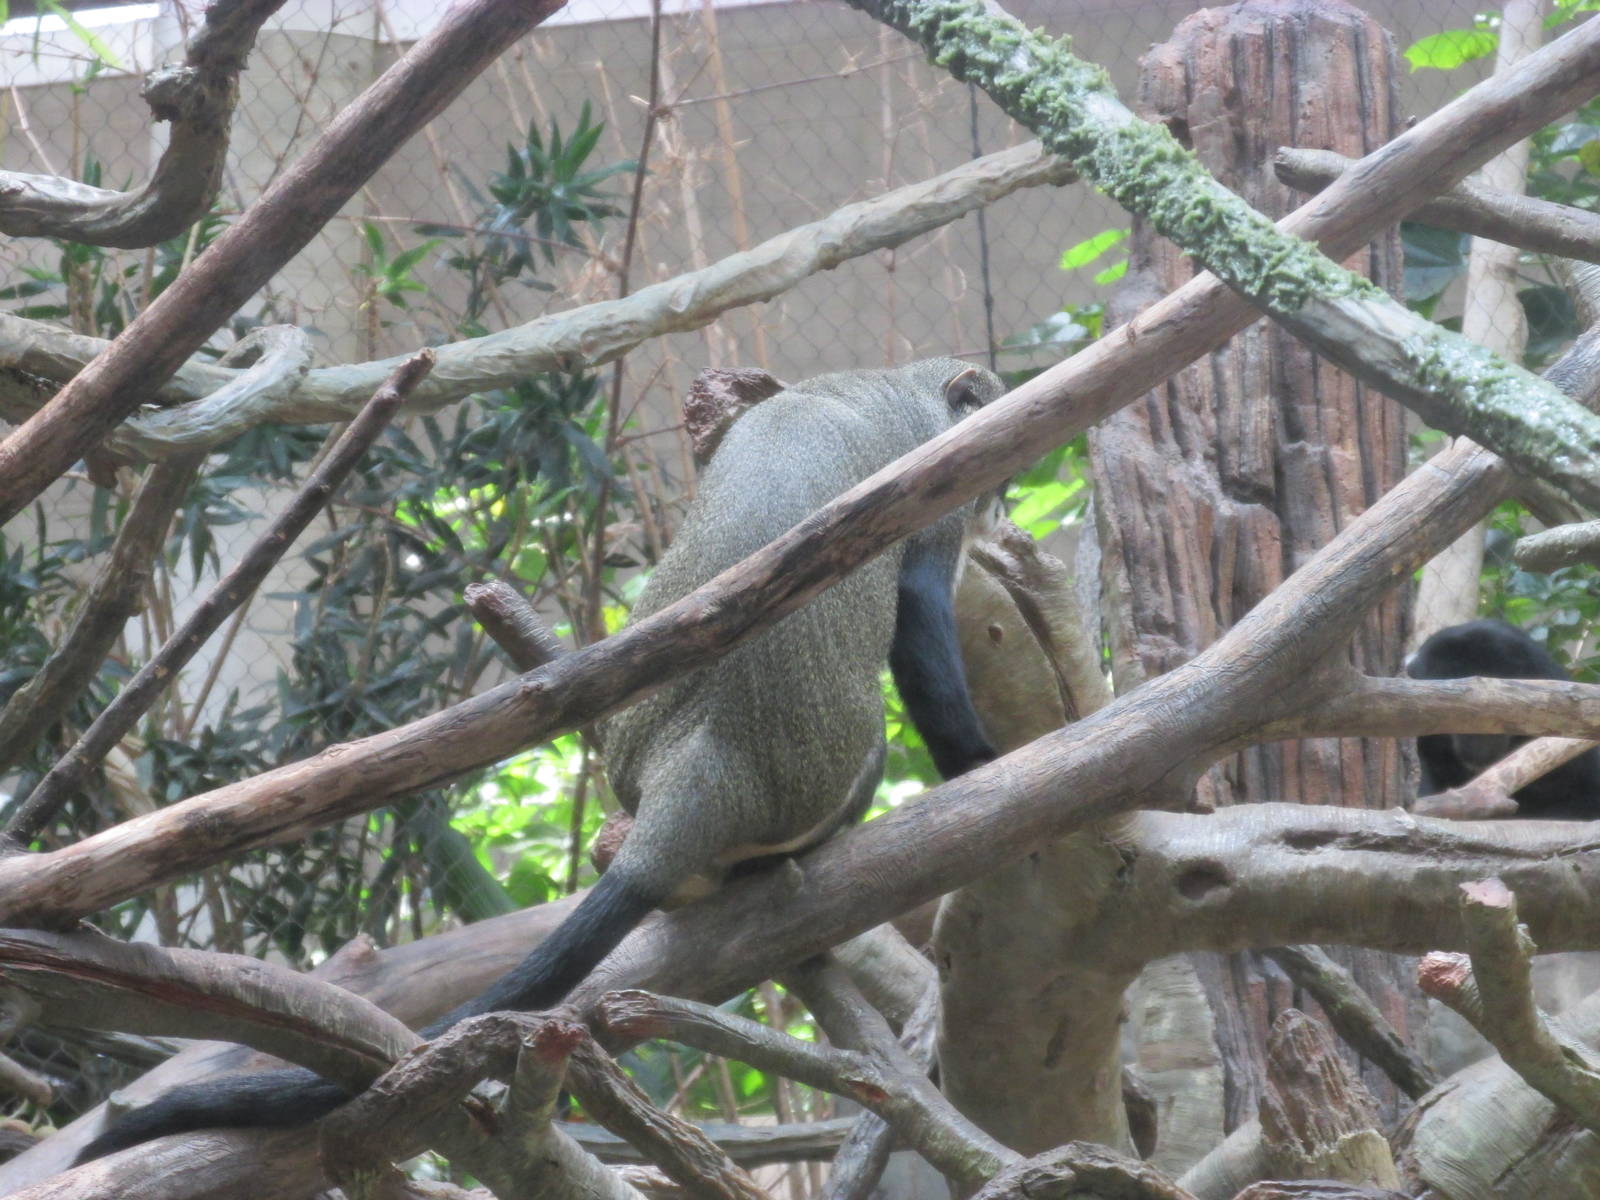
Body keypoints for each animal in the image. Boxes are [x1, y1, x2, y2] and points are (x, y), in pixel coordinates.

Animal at [79, 358, 1003, 1161]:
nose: (996, 508)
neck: (886, 383)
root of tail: (699, 770)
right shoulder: (931, 506)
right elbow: (921, 617)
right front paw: (981, 760)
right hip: (836, 771)